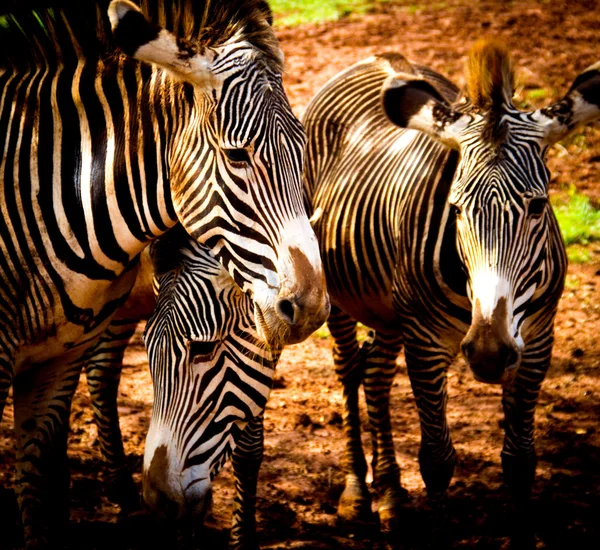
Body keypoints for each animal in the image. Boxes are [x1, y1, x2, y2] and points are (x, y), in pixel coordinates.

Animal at [304, 40, 600, 548]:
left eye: (539, 205)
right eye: (456, 208)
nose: (489, 351)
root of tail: (377, 57)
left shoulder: (539, 341)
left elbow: (521, 460)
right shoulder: (425, 343)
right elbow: (437, 460)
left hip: (390, 311)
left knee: (376, 374)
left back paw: (392, 497)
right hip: (341, 295)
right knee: (348, 370)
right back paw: (357, 494)